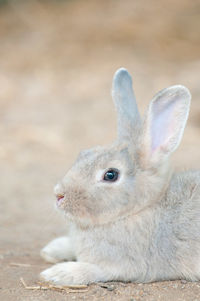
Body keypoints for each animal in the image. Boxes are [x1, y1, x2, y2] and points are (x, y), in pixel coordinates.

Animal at [39, 67, 200, 284]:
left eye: (110, 175)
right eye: (84, 153)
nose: (59, 196)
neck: (138, 210)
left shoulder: (126, 266)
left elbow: (93, 270)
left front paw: (58, 273)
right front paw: (53, 248)